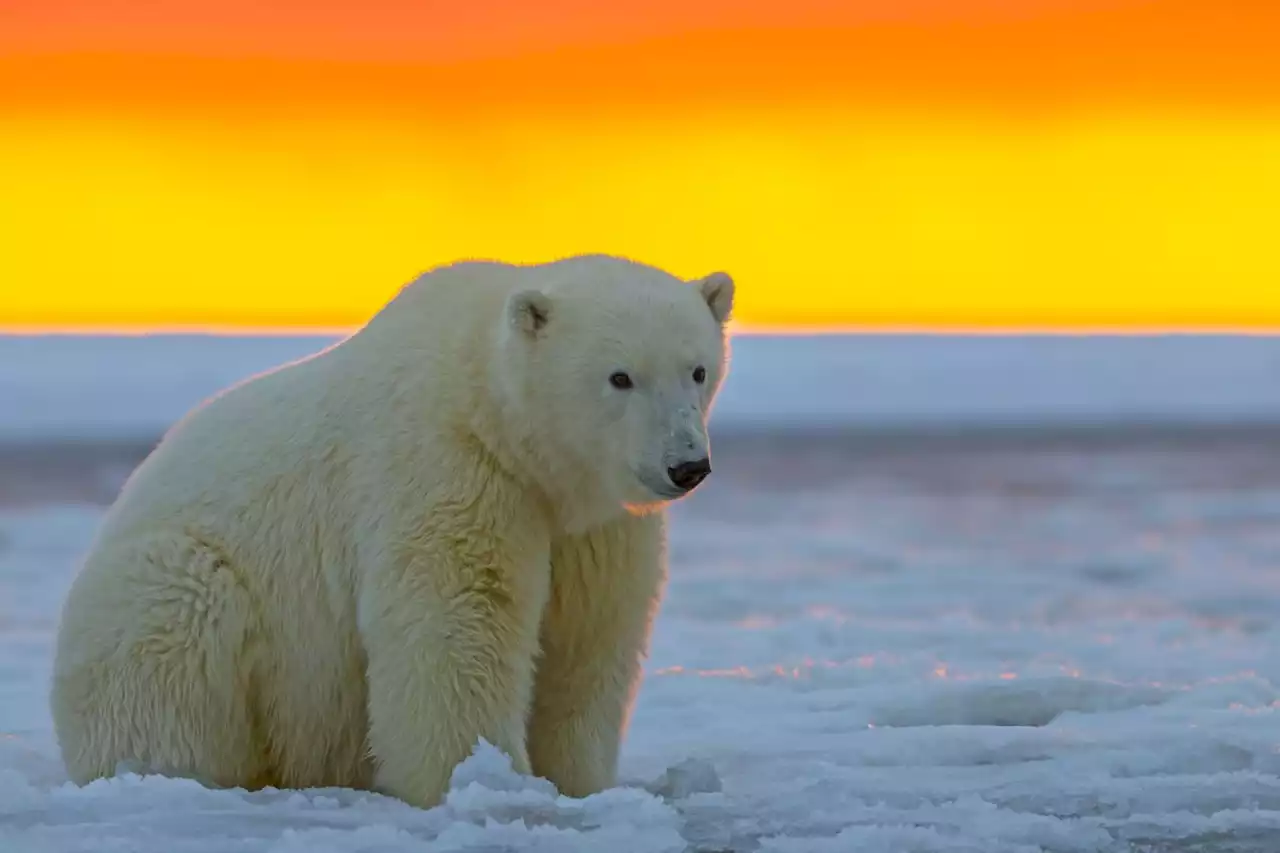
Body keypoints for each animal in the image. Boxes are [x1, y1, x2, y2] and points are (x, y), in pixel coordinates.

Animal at [49, 251, 737, 804]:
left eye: (698, 370)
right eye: (620, 376)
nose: (687, 465)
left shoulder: (590, 524)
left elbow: (591, 632)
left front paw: (580, 783)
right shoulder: (444, 465)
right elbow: (460, 617)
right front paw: (472, 779)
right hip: (166, 585)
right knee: (173, 632)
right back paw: (169, 775)